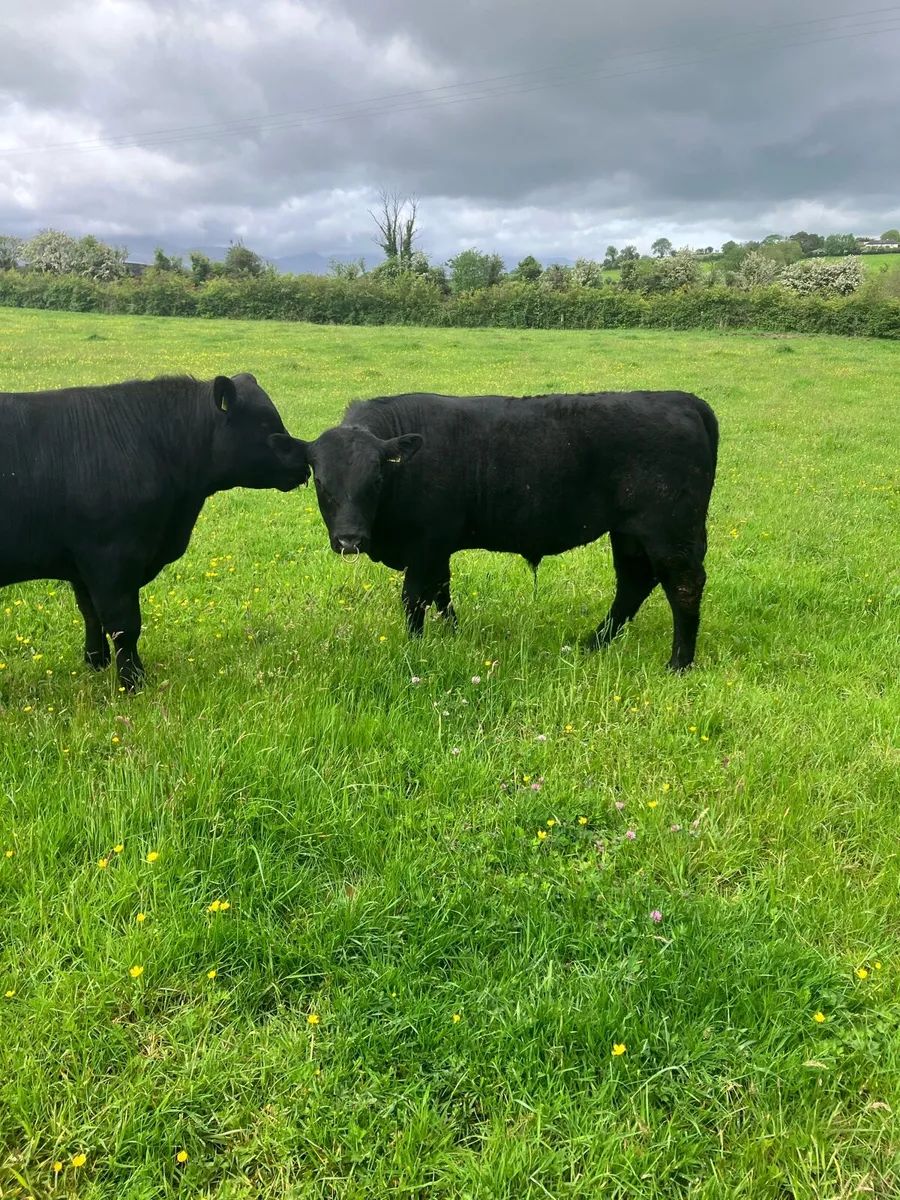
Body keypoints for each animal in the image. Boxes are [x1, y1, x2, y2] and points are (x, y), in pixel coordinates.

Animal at [0, 373, 308, 690]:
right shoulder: (110, 557)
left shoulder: (81, 565)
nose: (304, 460)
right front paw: (133, 681)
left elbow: (90, 613)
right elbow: (123, 625)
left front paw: (96, 662)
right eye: (264, 425)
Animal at [301, 391, 718, 671]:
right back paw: (593, 644)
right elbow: (441, 591)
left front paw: (415, 647)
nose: (349, 540)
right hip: (630, 534)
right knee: (634, 583)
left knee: (683, 585)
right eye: (320, 482)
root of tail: (680, 399)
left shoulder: (424, 545)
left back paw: (678, 664)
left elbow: (415, 598)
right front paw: (452, 636)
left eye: (375, 480)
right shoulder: (437, 549)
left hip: (669, 531)